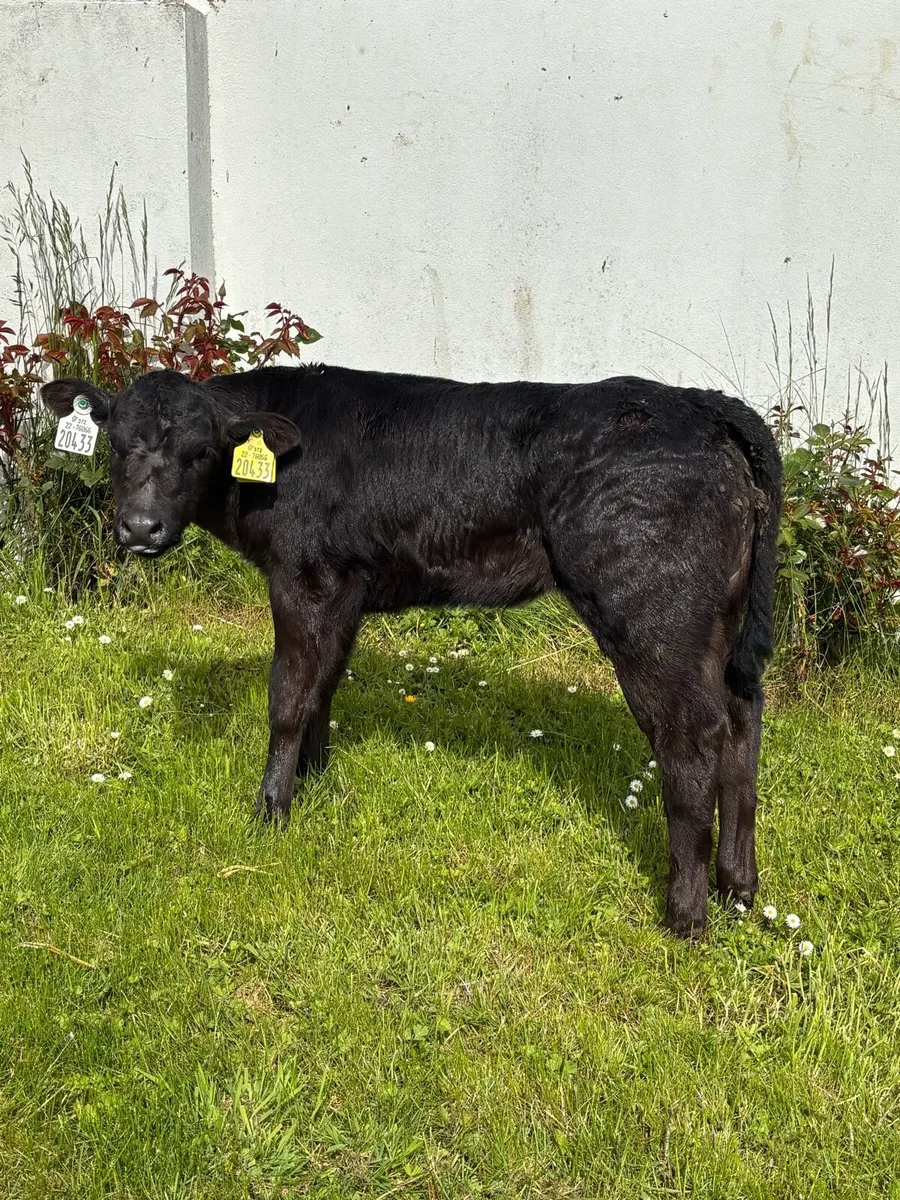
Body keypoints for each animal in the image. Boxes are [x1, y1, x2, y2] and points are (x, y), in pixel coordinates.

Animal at [42, 365, 781, 938]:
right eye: (116, 445)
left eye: (200, 452)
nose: (140, 528)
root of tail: (699, 403)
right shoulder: (344, 586)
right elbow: (323, 682)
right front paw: (313, 779)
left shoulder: (303, 575)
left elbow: (288, 694)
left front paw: (271, 811)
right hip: (721, 623)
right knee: (743, 718)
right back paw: (738, 888)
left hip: (652, 613)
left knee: (692, 737)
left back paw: (685, 916)